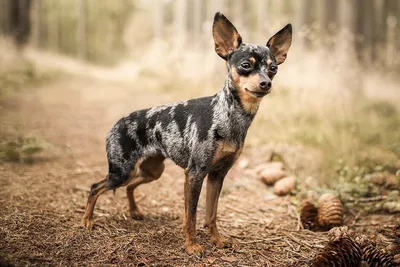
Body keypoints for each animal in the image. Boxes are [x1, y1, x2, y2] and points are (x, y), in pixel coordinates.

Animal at [81, 13, 292, 258]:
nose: (266, 83)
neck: (229, 115)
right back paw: (87, 220)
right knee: (95, 187)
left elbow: (211, 215)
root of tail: (116, 123)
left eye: (273, 68)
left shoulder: (217, 175)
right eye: (245, 66)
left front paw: (218, 241)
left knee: (130, 186)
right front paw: (192, 246)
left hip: (152, 171)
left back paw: (134, 211)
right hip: (122, 171)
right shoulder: (195, 173)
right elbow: (190, 216)